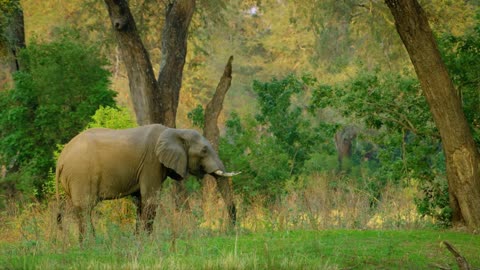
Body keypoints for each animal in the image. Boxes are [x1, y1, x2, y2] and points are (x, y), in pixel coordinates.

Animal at [55, 124, 239, 240]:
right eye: (204, 150)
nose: (231, 230)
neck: (174, 131)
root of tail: (61, 159)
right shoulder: (151, 163)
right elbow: (151, 199)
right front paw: (147, 240)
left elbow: (141, 202)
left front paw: (138, 239)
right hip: (81, 175)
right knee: (85, 208)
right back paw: (91, 243)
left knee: (80, 210)